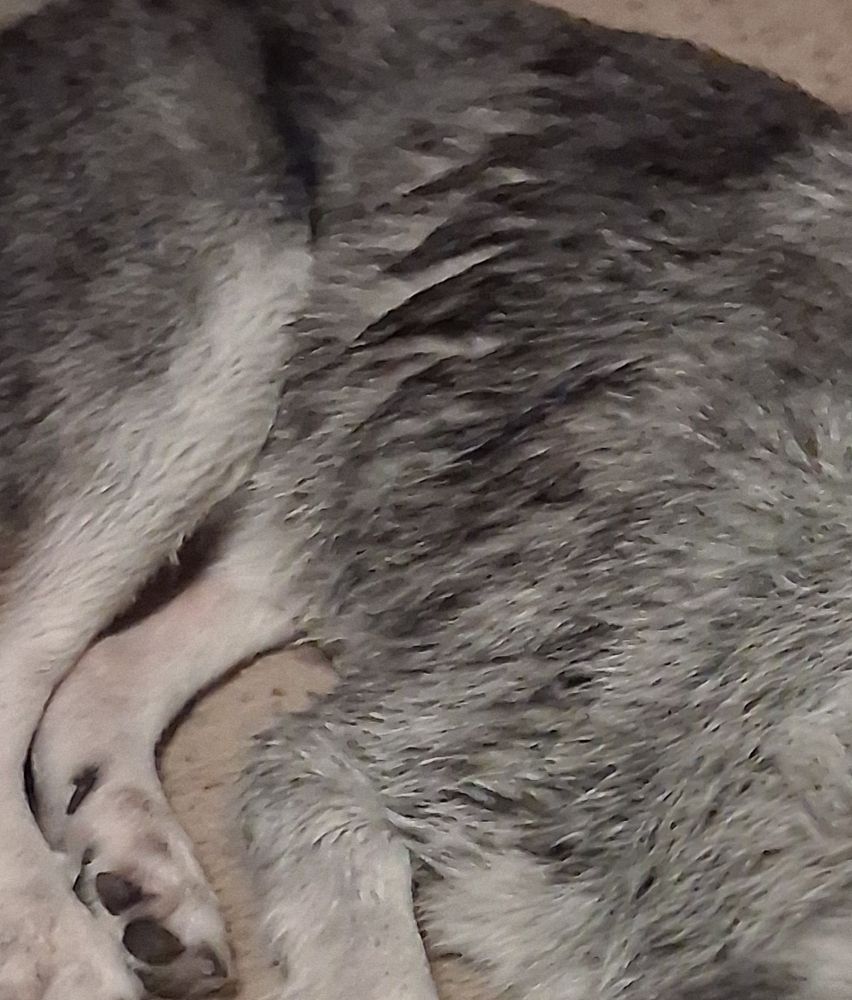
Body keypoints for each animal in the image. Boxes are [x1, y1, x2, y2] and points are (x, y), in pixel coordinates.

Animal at [3, 0, 852, 997]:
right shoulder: (343, 770)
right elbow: (378, 956)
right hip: (224, 332)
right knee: (20, 654)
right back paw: (64, 952)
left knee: (103, 674)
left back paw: (142, 870)